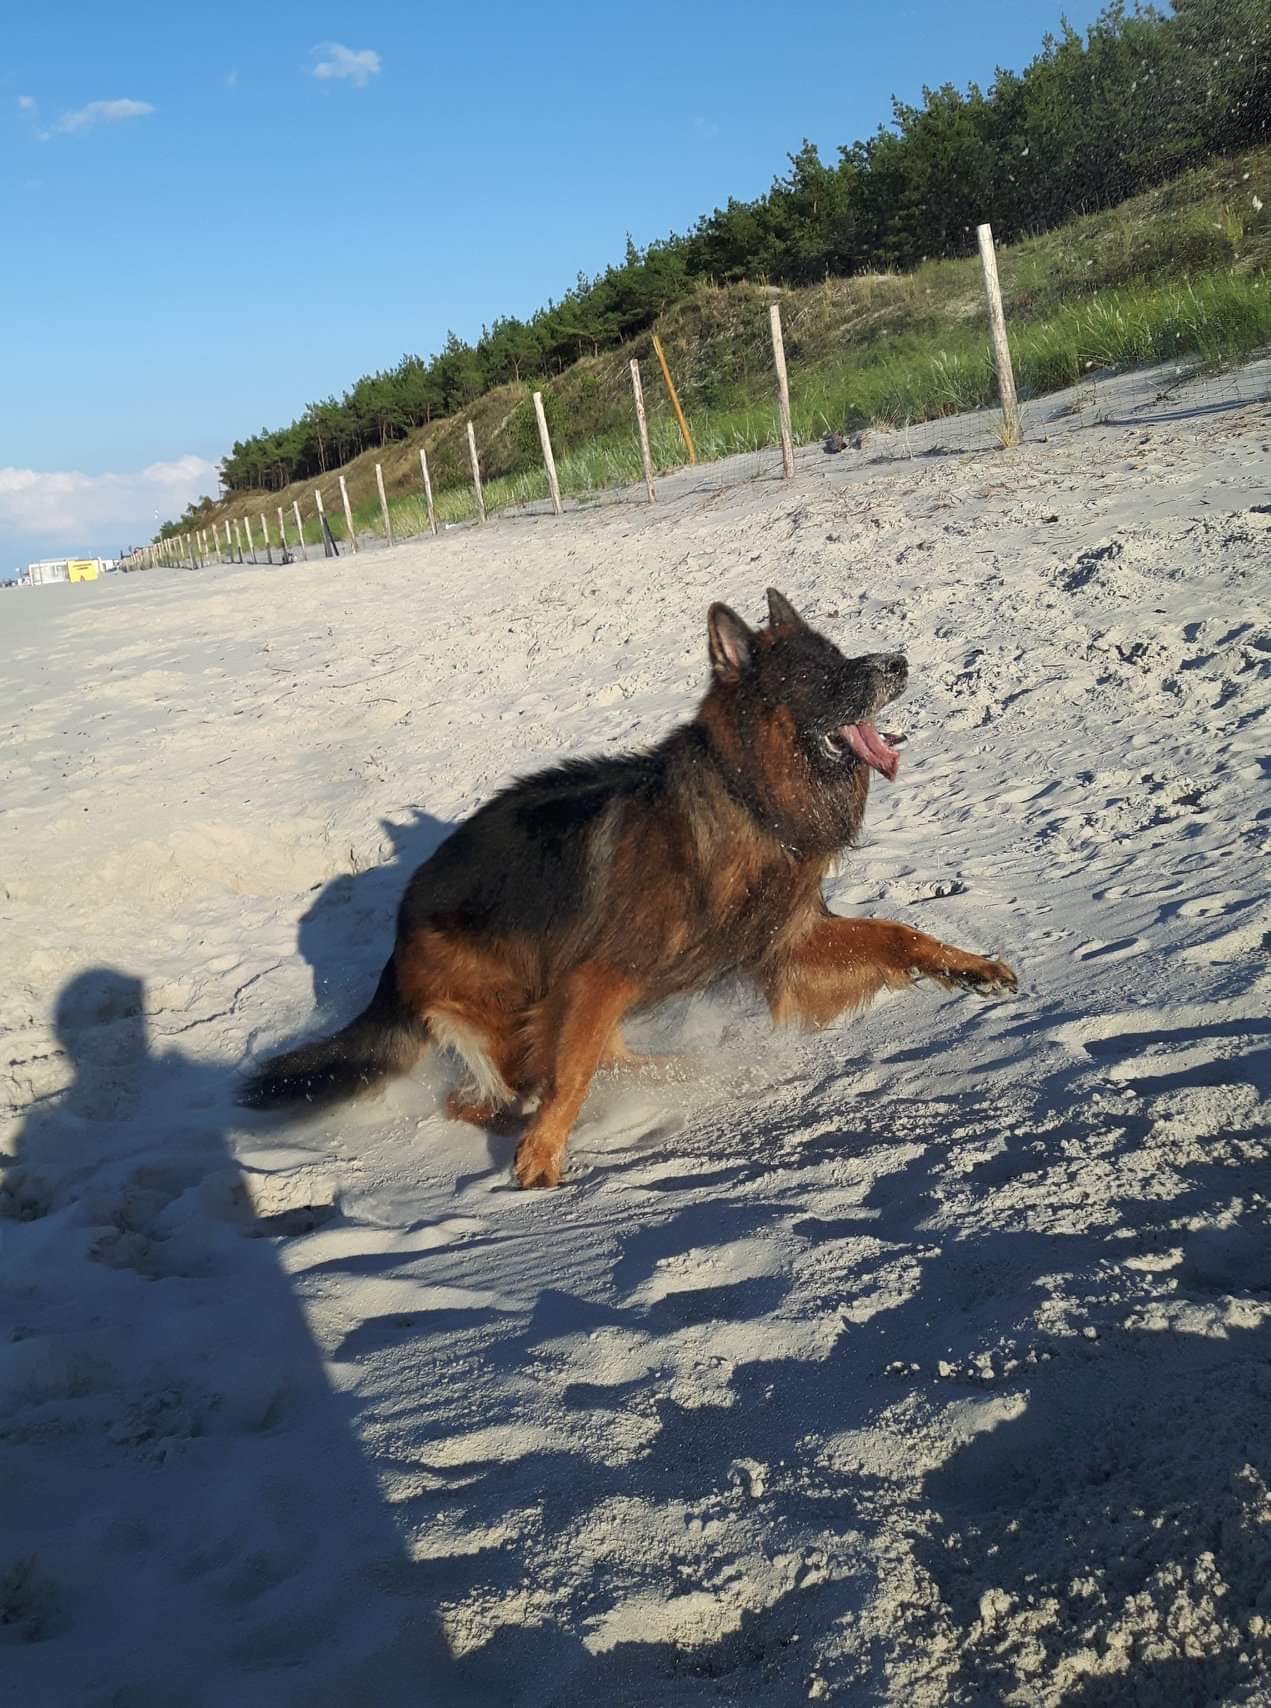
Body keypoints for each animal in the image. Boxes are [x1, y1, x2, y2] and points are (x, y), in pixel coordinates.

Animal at [241, 589, 1017, 1186]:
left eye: (843, 655)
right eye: (817, 674)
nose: (897, 663)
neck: (745, 795)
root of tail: (397, 933)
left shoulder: (786, 945)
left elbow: (897, 932)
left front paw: (966, 965)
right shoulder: (599, 974)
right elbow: (572, 1074)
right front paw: (542, 1153)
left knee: (580, 1062)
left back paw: (666, 1070)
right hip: (511, 1007)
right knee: (490, 1092)